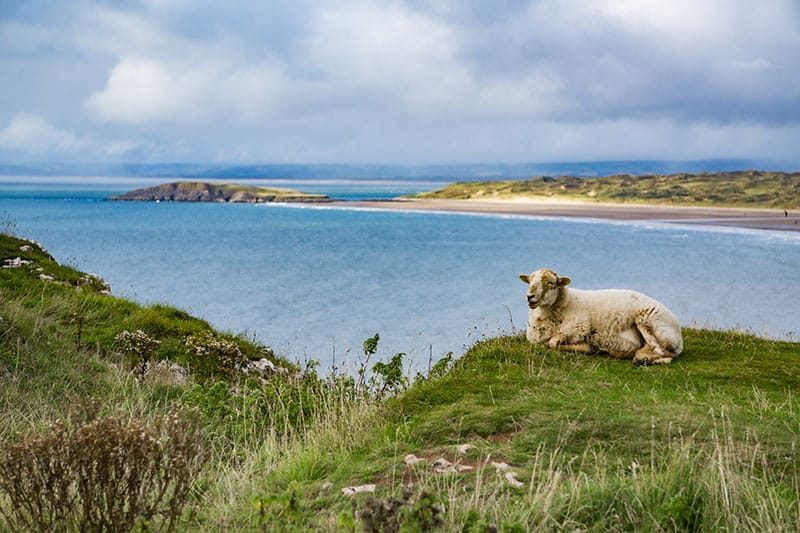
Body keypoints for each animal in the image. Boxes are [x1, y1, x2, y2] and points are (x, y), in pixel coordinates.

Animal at [519, 268, 683, 364]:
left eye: (551, 283)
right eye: (530, 281)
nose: (530, 297)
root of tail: (679, 334)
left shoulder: (578, 327)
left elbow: (552, 343)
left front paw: (588, 347)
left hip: (649, 321)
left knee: (664, 352)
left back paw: (641, 357)